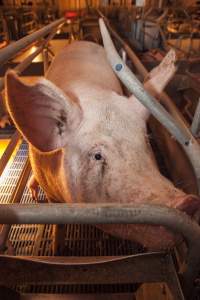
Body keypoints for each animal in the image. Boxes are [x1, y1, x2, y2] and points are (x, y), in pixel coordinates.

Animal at [4, 40, 200, 251]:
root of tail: (80, 41)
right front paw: (58, 249)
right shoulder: (51, 194)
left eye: (146, 141)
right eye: (97, 155)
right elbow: (59, 225)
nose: (187, 203)